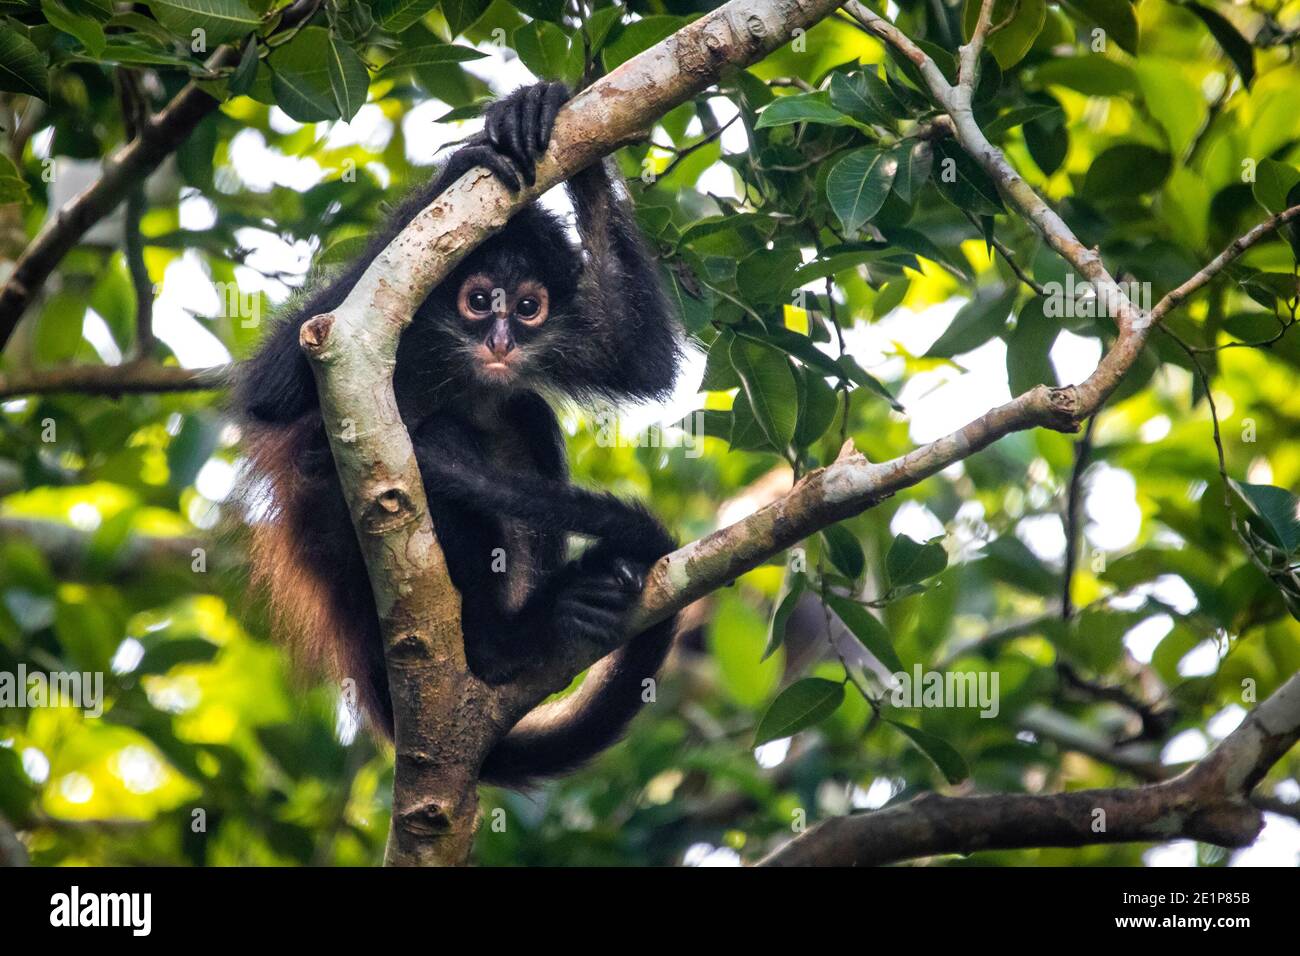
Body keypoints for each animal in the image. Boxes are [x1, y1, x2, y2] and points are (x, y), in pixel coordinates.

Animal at [236, 80, 681, 785]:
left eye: (526, 308)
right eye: (477, 302)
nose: (500, 342)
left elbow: (640, 360)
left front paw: (550, 115)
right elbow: (273, 394)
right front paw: (459, 166)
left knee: (525, 412)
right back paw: (504, 643)